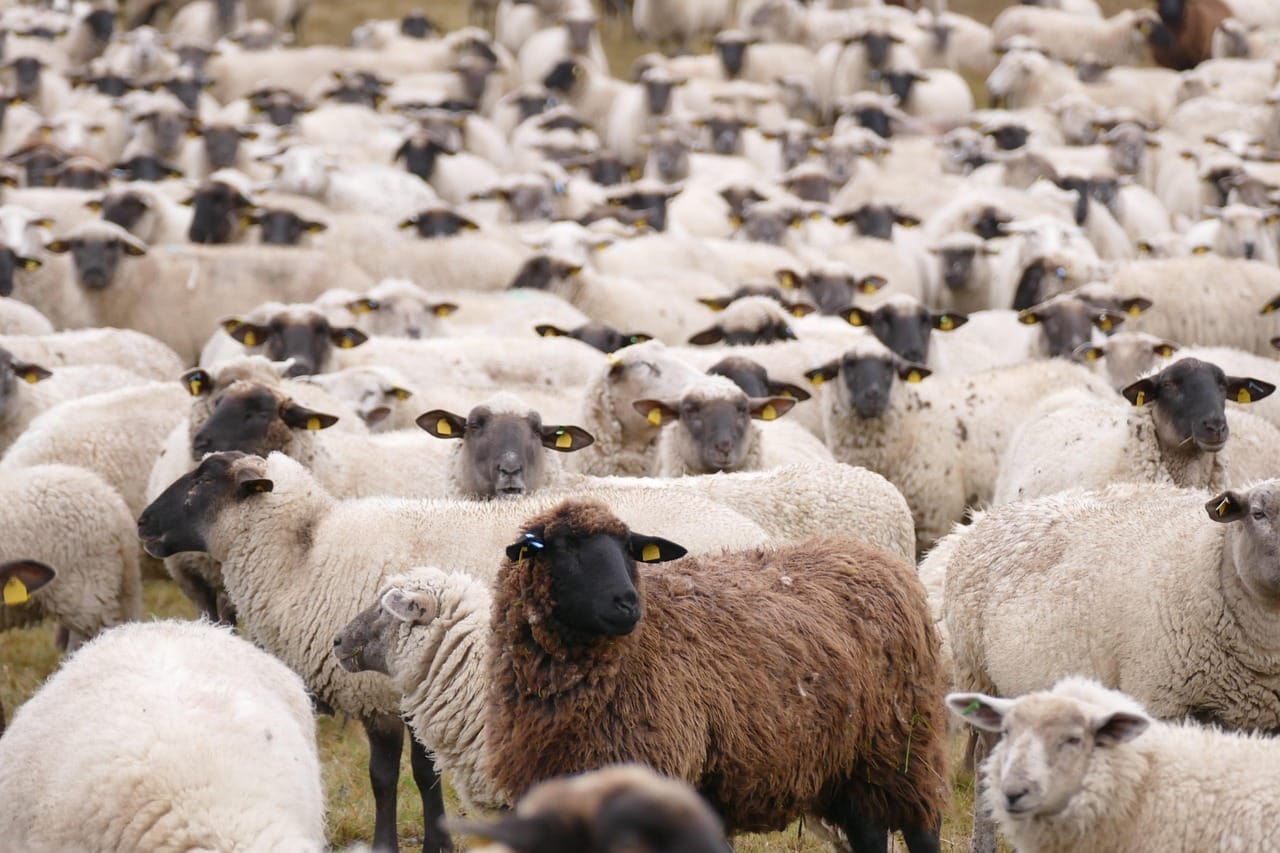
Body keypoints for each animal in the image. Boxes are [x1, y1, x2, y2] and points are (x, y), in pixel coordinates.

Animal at [137, 450, 771, 852]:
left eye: (204, 479)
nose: (143, 523)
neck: (303, 552)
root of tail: (759, 535)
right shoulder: (401, 689)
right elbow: (402, 775)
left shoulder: (396, 689)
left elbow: (400, 775)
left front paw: (409, 845)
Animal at [484, 499, 947, 851]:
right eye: (564, 547)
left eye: (629, 548)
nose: (628, 603)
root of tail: (876, 556)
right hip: (849, 764)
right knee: (868, 831)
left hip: (904, 742)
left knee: (923, 827)